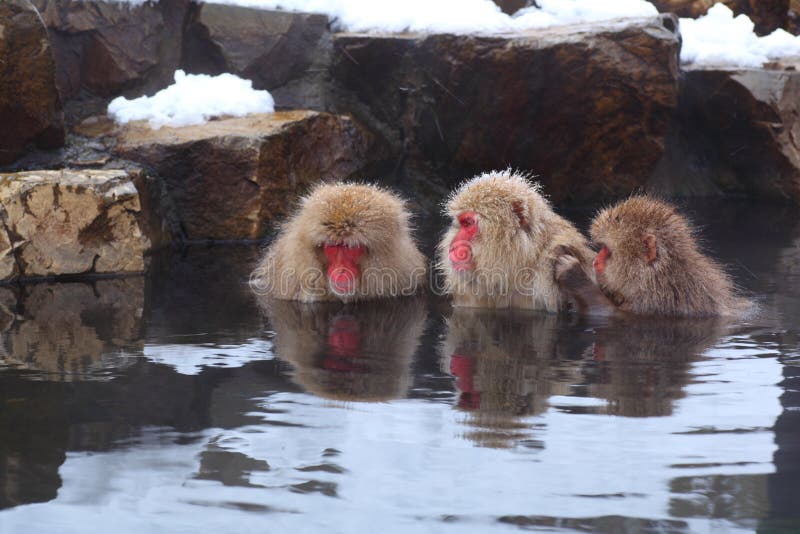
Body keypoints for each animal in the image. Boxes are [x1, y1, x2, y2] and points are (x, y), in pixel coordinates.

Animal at [555, 196, 752, 318]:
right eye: (601, 249)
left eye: (606, 251)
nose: (596, 262)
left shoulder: (658, 298)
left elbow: (610, 314)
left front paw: (575, 275)